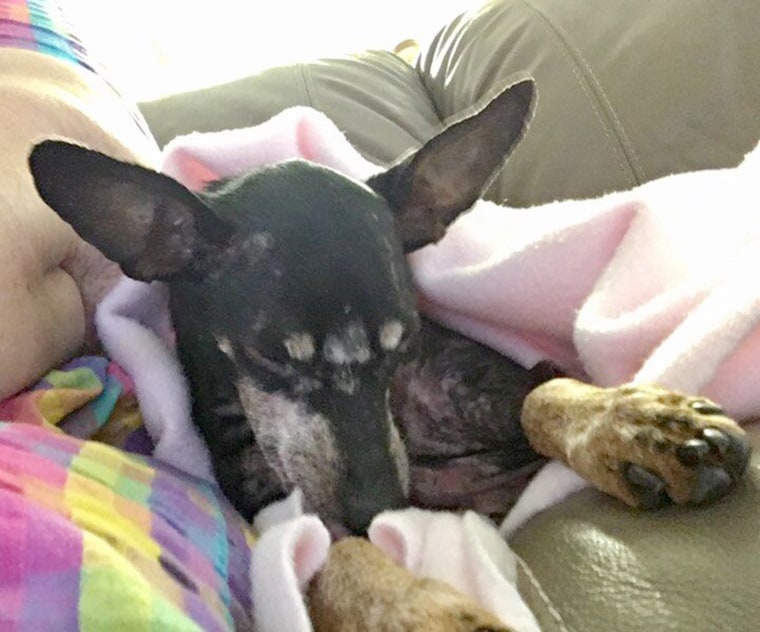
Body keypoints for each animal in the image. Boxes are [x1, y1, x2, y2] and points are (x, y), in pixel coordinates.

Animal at [26, 75, 752, 540]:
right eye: (266, 356)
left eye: (404, 347)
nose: (378, 508)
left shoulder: (510, 377)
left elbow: (547, 393)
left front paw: (637, 425)